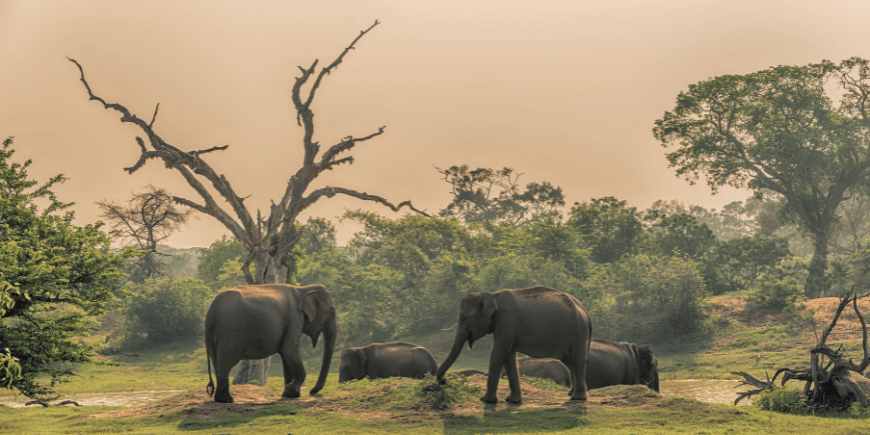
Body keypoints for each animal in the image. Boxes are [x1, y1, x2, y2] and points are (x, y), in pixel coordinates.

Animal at [206, 284, 338, 404]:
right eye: (332, 312)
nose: (312, 392)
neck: (303, 289)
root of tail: (210, 311)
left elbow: (286, 356)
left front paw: (289, 394)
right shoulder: (295, 318)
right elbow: (289, 350)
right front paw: (292, 390)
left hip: (215, 335)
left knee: (216, 362)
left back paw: (222, 399)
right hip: (230, 331)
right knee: (226, 362)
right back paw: (227, 400)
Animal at [436, 286, 592, 406]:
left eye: (464, 318)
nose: (444, 381)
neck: (491, 295)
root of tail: (585, 311)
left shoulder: (507, 321)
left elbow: (498, 353)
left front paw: (486, 400)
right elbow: (508, 356)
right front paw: (512, 401)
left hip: (578, 332)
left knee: (577, 360)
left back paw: (577, 398)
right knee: (569, 361)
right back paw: (571, 393)